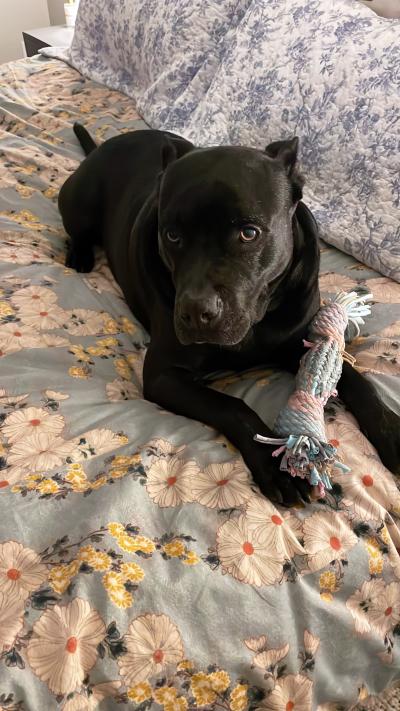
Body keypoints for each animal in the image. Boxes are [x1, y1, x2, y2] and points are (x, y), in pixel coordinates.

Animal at [57, 126, 398, 506]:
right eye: (172, 235)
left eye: (249, 233)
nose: (195, 312)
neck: (257, 322)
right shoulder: (163, 374)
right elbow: (231, 405)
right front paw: (273, 461)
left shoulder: (304, 341)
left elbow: (358, 380)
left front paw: (394, 432)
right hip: (79, 206)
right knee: (76, 232)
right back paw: (80, 256)